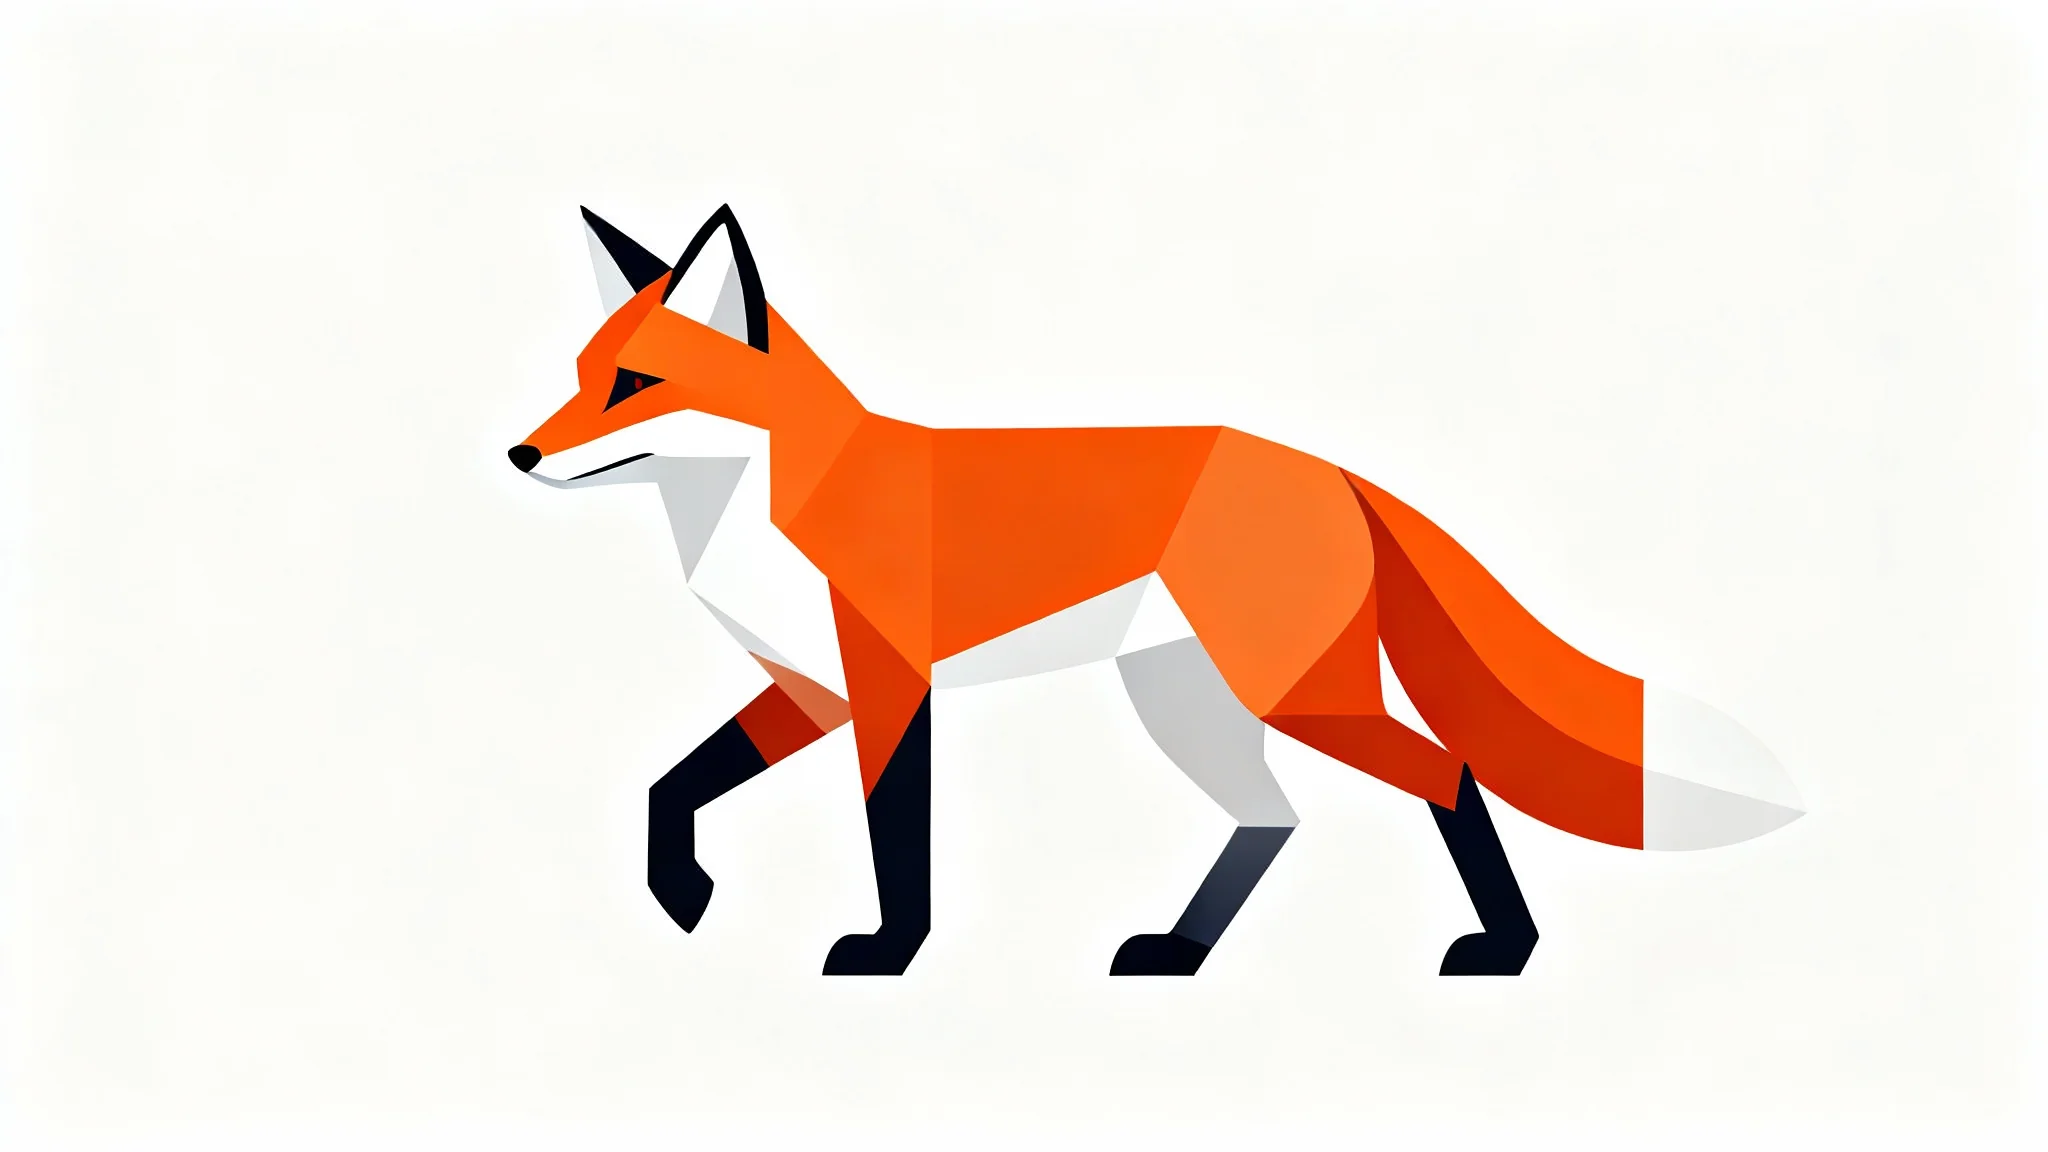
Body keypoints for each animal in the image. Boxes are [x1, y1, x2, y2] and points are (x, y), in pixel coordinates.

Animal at [511, 203, 1805, 977]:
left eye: (635, 384)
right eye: (579, 375)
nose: (520, 456)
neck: (781, 496)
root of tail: (1329, 469)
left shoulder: (884, 690)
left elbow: (894, 837)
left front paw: (887, 950)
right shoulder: (809, 690)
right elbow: (670, 787)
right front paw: (681, 893)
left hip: (1294, 698)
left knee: (1446, 772)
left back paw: (1503, 947)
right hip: (1189, 708)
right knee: (1273, 817)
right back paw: (1179, 950)